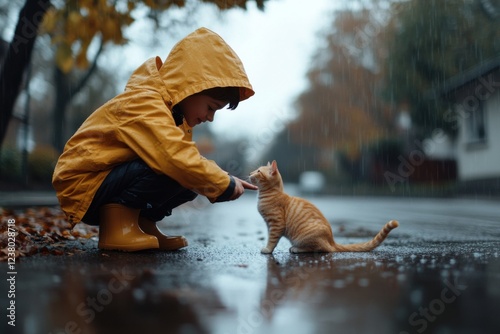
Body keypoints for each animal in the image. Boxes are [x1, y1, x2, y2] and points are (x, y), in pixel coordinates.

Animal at [248, 160, 400, 253]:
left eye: (258, 171)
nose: (250, 173)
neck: (270, 193)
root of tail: (332, 241)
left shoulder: (276, 224)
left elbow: (272, 239)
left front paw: (267, 250)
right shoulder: (269, 224)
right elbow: (270, 237)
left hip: (306, 237)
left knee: (322, 249)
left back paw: (297, 249)